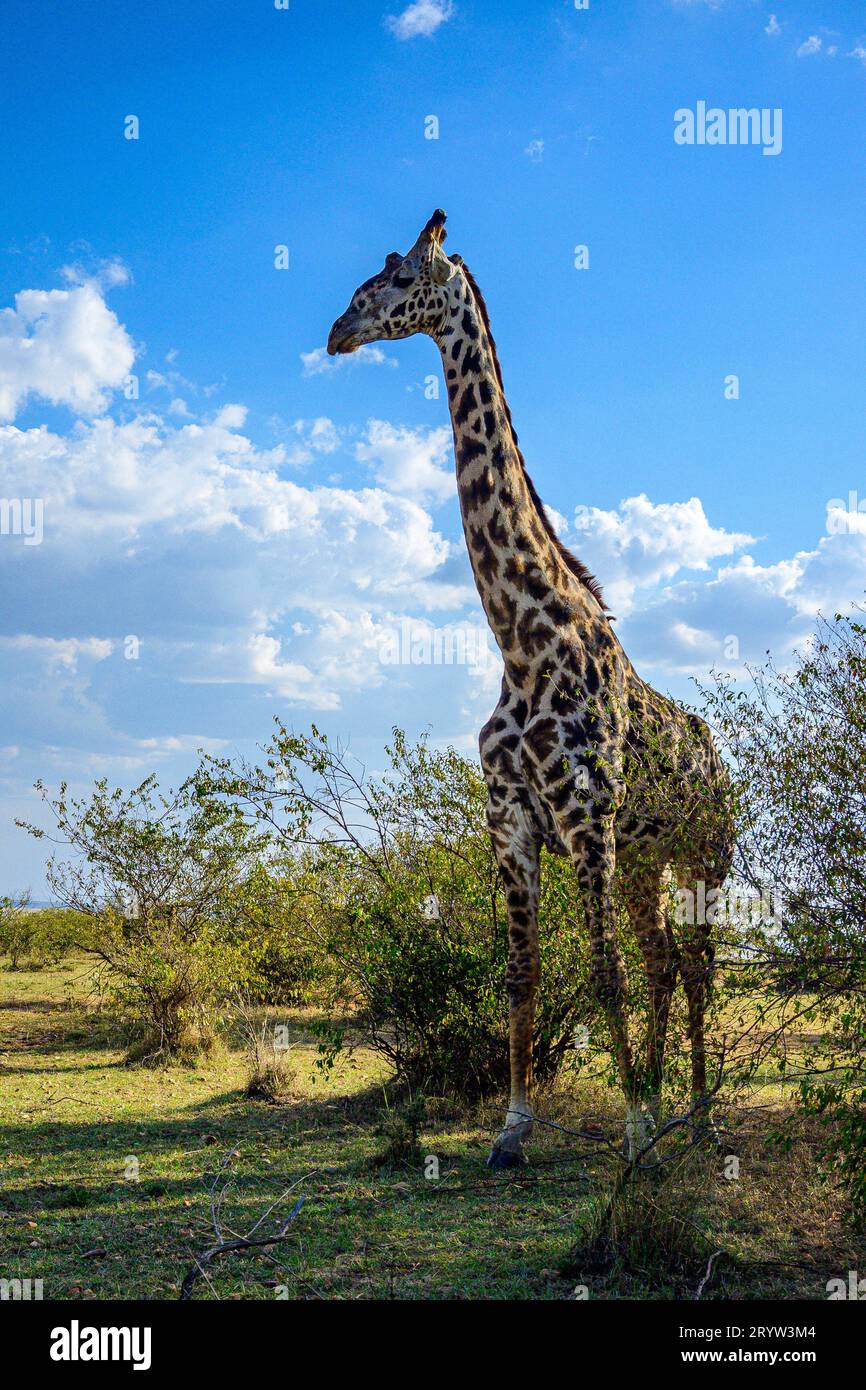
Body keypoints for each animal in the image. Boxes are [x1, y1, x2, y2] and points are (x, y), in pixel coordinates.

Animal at [328, 211, 733, 1167]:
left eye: (398, 281)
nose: (336, 331)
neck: (521, 639)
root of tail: (719, 763)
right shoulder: (511, 819)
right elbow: (522, 973)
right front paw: (513, 1130)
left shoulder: (585, 821)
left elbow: (601, 972)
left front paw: (633, 1134)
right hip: (647, 859)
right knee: (665, 961)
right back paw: (671, 1104)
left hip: (704, 852)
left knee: (696, 965)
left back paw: (698, 1114)